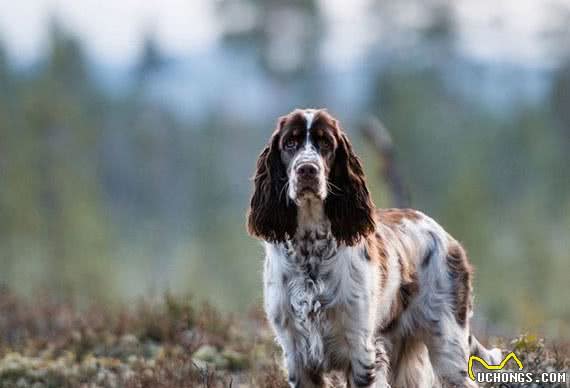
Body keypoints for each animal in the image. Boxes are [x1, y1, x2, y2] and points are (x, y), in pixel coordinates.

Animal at [246, 107, 500, 386]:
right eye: (290, 143)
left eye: (326, 143)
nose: (307, 170)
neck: (310, 251)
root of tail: (450, 240)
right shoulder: (297, 357)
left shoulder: (361, 351)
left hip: (447, 345)